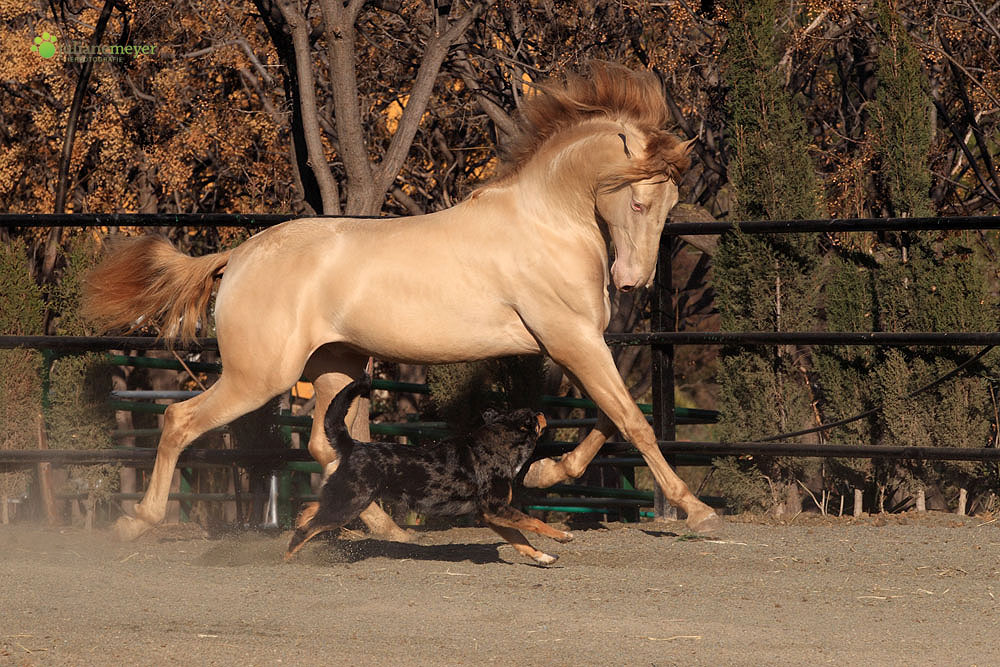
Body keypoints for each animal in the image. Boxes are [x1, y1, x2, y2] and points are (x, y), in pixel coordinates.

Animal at [84, 62, 720, 544]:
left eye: (670, 203)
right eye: (637, 200)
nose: (634, 281)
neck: (548, 222)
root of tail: (240, 254)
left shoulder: (577, 344)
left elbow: (613, 418)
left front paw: (544, 472)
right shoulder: (571, 340)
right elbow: (633, 421)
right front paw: (697, 509)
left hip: (337, 365)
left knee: (323, 442)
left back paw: (386, 529)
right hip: (259, 376)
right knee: (179, 420)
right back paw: (136, 521)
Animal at [286, 376, 576, 564]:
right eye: (532, 416)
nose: (542, 411)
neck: (498, 446)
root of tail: (353, 445)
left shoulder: (490, 514)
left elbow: (520, 539)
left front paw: (543, 557)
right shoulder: (496, 508)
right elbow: (534, 523)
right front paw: (563, 536)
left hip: (345, 499)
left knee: (310, 510)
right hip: (350, 504)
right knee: (307, 529)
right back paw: (287, 558)